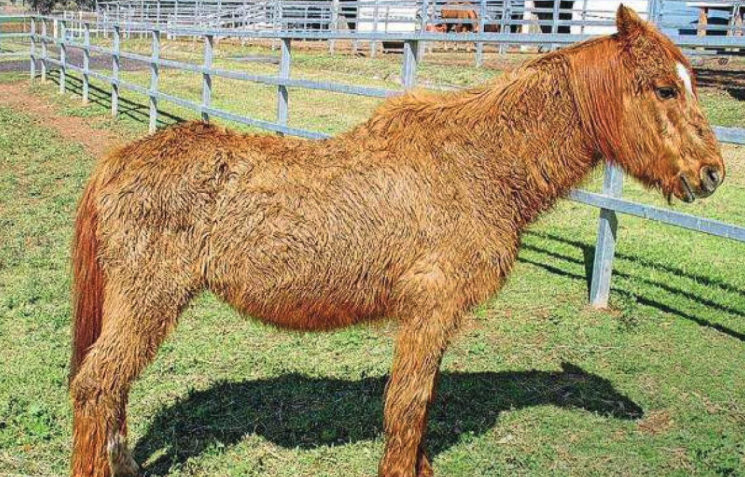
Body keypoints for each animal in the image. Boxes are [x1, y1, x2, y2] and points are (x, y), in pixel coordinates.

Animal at [68, 6, 720, 476]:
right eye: (665, 89)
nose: (712, 173)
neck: (476, 163)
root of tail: (117, 161)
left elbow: (419, 406)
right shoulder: (430, 310)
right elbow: (407, 406)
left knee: (112, 391)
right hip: (149, 301)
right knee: (97, 386)